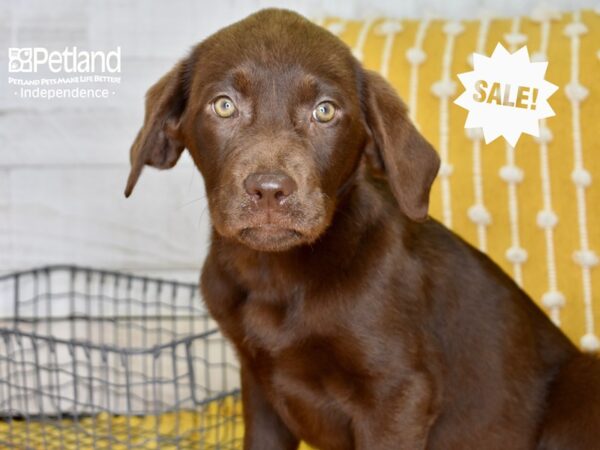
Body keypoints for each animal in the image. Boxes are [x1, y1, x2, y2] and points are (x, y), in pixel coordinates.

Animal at [123, 7, 600, 450]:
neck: (274, 276)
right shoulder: (258, 388)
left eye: (325, 111)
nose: (270, 190)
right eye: (223, 105)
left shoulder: (398, 396)